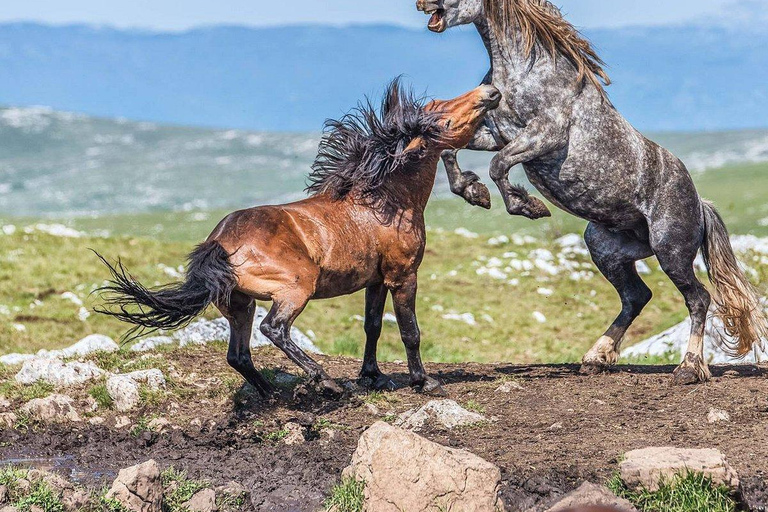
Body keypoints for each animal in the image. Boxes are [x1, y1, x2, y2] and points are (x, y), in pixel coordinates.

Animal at [95, 80, 502, 397]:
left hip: (239, 303)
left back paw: (273, 393)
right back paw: (324, 380)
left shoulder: (376, 280)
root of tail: (221, 242)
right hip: (296, 287)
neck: (385, 201)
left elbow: (371, 327)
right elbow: (409, 331)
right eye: (442, 116)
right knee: (273, 329)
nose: (490, 91)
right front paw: (423, 382)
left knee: (238, 354)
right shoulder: (403, 276)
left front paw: (372, 377)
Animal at [416, 0, 768, 384]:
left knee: (699, 298)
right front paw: (474, 192)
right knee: (636, 296)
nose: (421, 4)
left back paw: (688, 368)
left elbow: (498, 165)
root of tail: (699, 204)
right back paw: (596, 357)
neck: (525, 71)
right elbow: (450, 150)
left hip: (670, 252)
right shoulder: (495, 134)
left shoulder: (543, 135)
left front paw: (527, 205)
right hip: (605, 249)